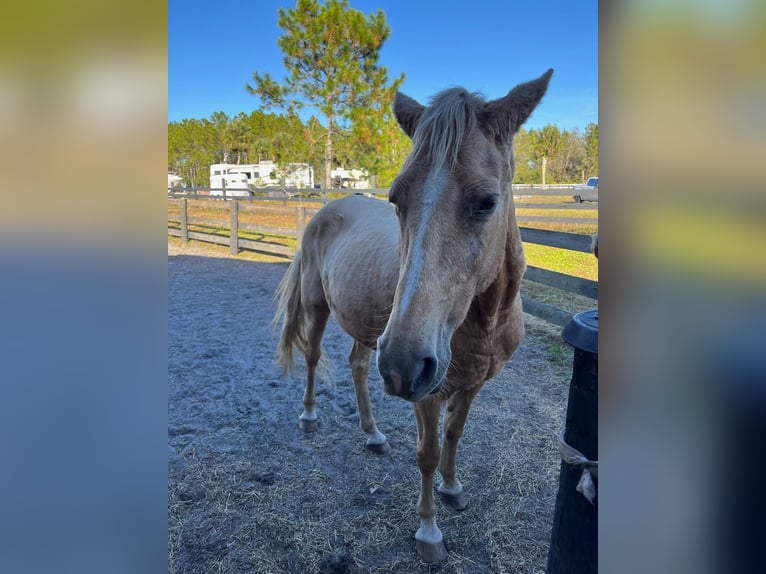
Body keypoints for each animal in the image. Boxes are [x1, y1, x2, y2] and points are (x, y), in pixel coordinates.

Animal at [272, 69, 553, 562]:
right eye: (396, 199)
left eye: (487, 202)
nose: (403, 363)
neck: (483, 322)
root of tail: (327, 208)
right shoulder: (429, 392)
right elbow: (427, 451)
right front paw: (428, 531)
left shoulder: (473, 383)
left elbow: (455, 435)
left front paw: (453, 488)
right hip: (324, 309)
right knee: (312, 357)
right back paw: (308, 417)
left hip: (369, 330)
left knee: (358, 366)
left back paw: (372, 433)